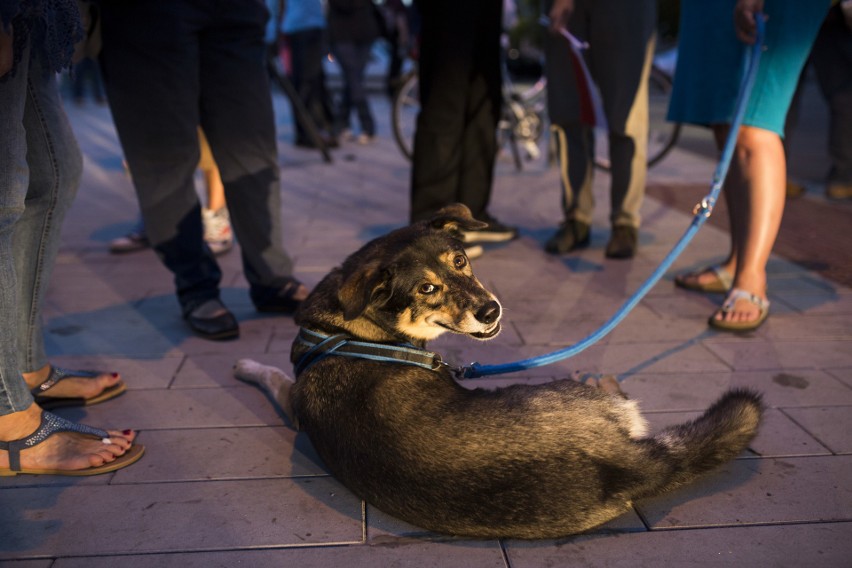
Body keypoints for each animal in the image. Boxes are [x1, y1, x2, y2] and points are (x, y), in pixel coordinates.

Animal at [235, 203, 764, 536]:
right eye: (426, 289)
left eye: (461, 259)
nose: (490, 311)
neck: (352, 331)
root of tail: (629, 464)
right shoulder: (293, 402)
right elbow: (273, 375)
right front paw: (245, 363)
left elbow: (276, 376)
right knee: (621, 395)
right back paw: (598, 378)